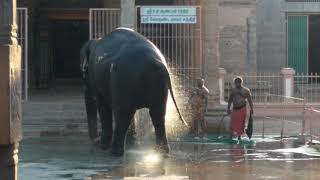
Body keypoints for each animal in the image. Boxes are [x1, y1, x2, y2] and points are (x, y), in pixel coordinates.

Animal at [79, 27, 188, 156]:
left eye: (83, 73)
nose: (96, 140)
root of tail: (156, 63)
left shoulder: (97, 79)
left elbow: (104, 108)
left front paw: (102, 146)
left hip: (124, 80)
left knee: (123, 114)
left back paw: (114, 153)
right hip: (158, 86)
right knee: (158, 114)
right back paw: (161, 152)